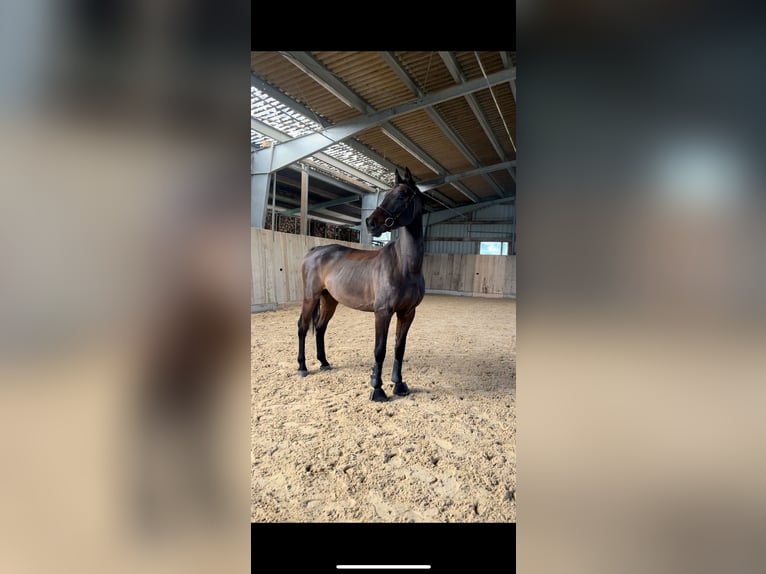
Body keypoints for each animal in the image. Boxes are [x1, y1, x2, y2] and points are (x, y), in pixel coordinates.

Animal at [297, 167, 426, 402]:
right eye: (387, 194)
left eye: (403, 194)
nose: (371, 223)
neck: (404, 265)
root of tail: (314, 251)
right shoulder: (383, 312)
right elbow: (380, 350)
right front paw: (378, 389)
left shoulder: (407, 313)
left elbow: (399, 348)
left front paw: (399, 385)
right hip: (310, 296)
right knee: (303, 327)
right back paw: (302, 367)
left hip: (329, 300)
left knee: (320, 328)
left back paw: (324, 363)